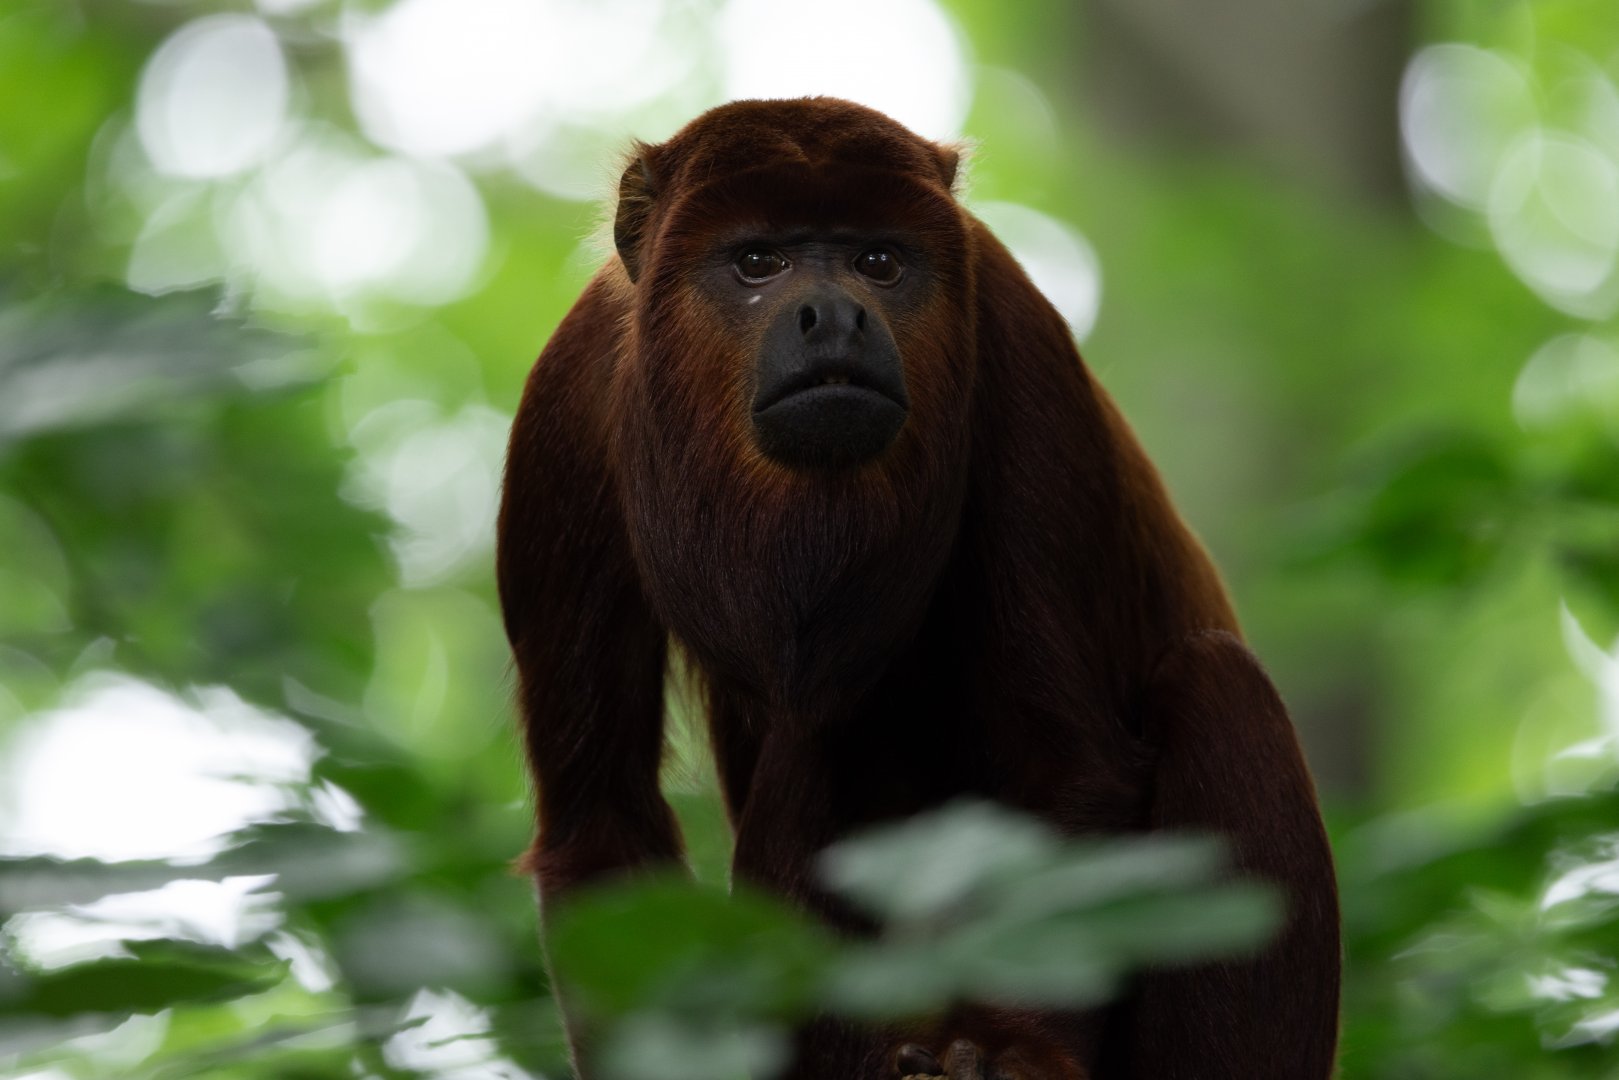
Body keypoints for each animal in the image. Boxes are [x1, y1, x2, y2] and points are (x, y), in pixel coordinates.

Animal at [496, 96, 1339, 1080]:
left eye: (879, 262)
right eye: (757, 262)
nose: (834, 316)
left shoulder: (1016, 342)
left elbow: (1071, 762)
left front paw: (1005, 1047)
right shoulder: (565, 404)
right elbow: (601, 824)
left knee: (1218, 684)